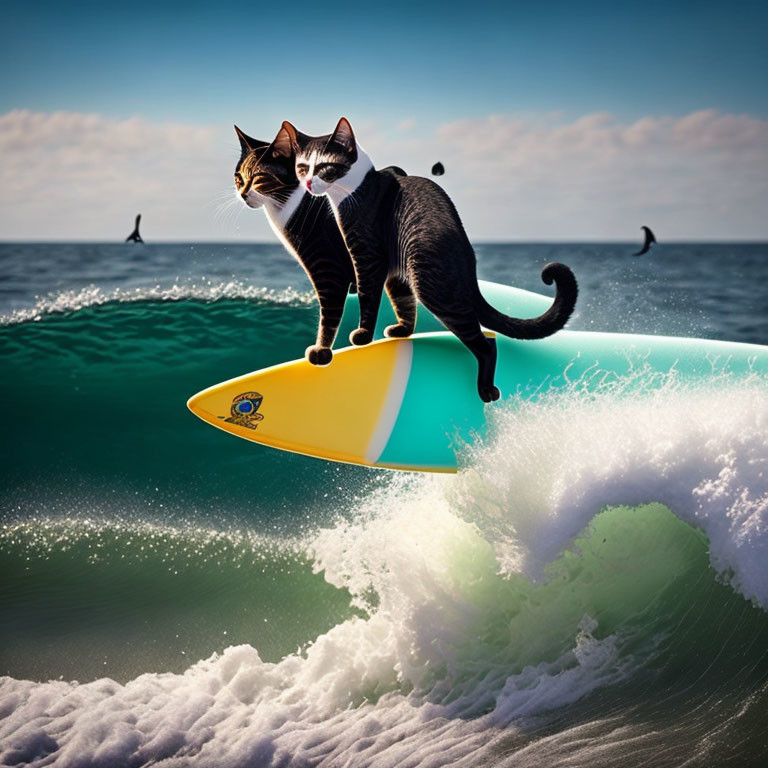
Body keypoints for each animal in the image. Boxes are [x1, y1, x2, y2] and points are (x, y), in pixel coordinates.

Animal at [236, 124, 408, 364]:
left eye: (259, 177)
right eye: (239, 178)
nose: (242, 193)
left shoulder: (327, 266)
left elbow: (329, 311)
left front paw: (322, 351)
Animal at [284, 118, 580, 404]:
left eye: (324, 167)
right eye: (302, 167)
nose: (308, 183)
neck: (352, 187)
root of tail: (468, 263)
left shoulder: (368, 255)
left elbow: (368, 297)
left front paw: (363, 336)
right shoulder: (392, 266)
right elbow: (403, 301)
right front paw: (402, 330)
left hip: (432, 284)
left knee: (486, 344)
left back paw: (487, 390)